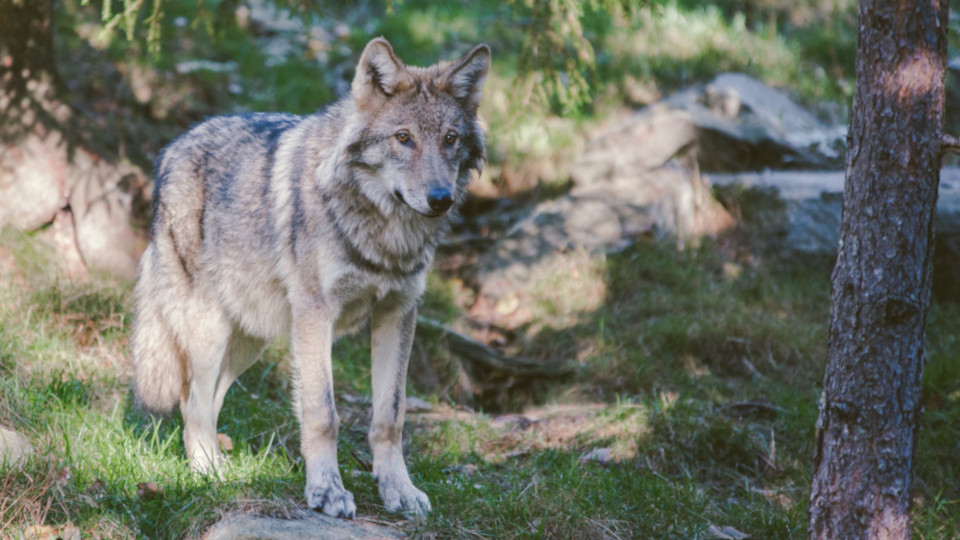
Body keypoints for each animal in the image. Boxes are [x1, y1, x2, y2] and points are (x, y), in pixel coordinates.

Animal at [129, 37, 490, 518]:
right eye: (403, 138)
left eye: (450, 139)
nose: (440, 199)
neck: (384, 234)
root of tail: (171, 149)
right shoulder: (317, 315)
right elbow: (323, 414)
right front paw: (327, 491)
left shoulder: (398, 313)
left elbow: (390, 416)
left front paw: (399, 489)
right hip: (209, 331)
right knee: (192, 402)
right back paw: (208, 474)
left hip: (250, 340)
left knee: (211, 398)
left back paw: (223, 467)